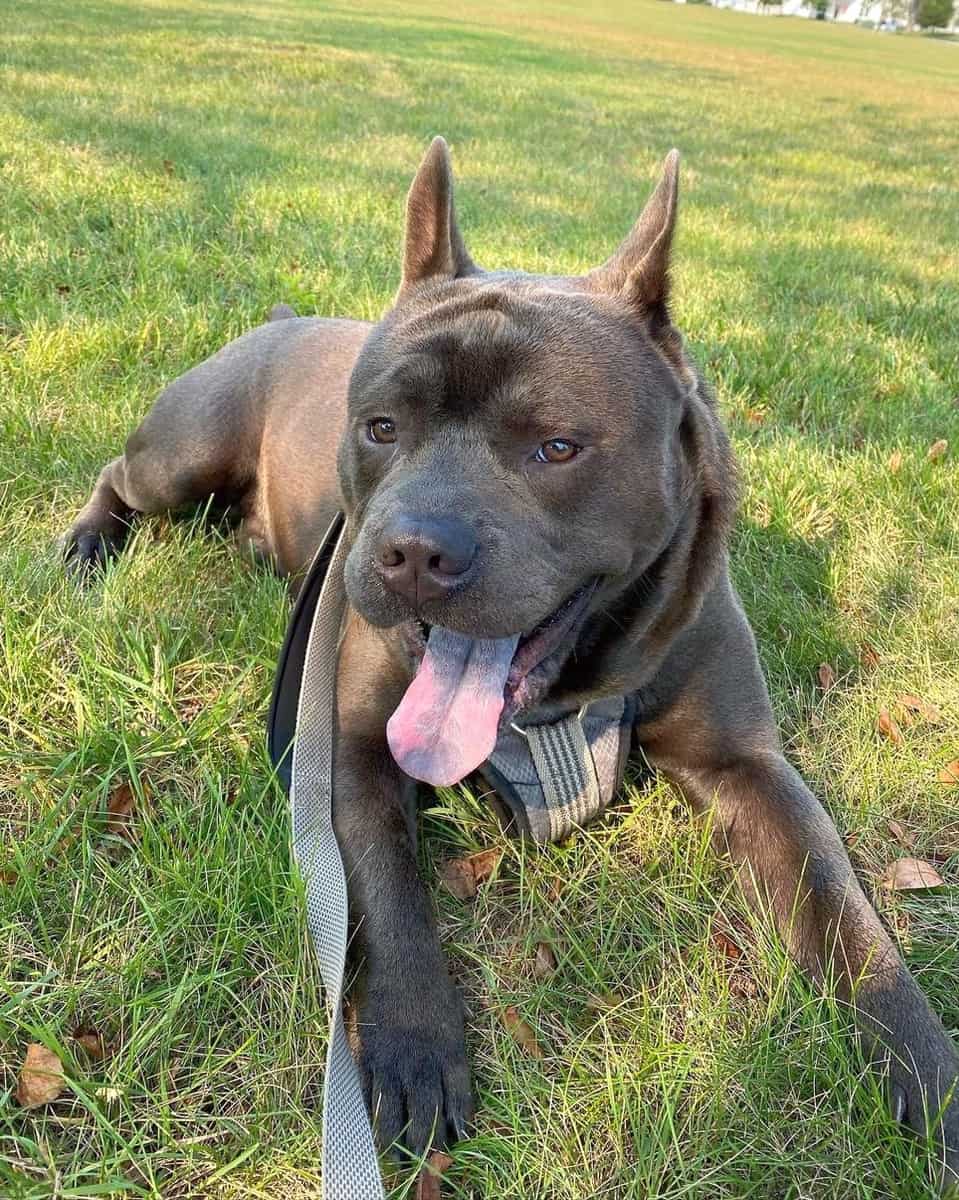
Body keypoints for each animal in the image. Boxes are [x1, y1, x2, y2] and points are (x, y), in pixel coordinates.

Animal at [67, 140, 959, 1190]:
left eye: (556, 447)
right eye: (380, 427)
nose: (413, 550)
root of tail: (287, 321)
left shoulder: (748, 768)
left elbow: (846, 916)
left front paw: (931, 1080)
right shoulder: (349, 758)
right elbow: (387, 894)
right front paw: (415, 1045)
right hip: (184, 452)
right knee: (119, 479)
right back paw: (87, 546)